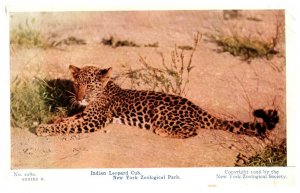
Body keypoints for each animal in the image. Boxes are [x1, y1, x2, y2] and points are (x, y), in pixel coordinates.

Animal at [35, 65, 278, 139]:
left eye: (90, 86)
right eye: (77, 85)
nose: (80, 97)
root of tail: (198, 109)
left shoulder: (94, 121)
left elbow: (68, 127)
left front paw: (44, 129)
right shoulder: (85, 115)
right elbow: (67, 120)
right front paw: (51, 121)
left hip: (163, 112)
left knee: (192, 131)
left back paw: (163, 131)